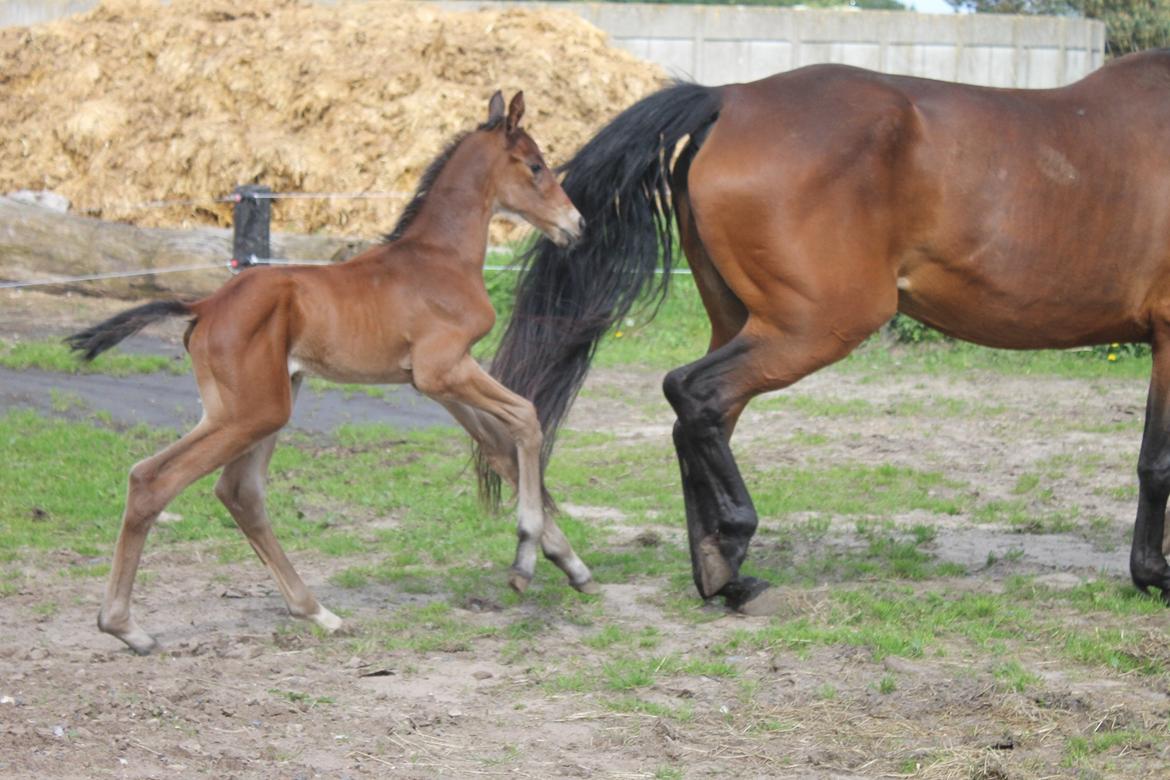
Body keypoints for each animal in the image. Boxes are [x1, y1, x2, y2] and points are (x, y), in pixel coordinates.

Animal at [68, 90, 589, 654]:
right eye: (535, 165)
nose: (576, 225)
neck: (440, 258)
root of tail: (203, 306)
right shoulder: (443, 370)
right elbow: (527, 418)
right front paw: (525, 562)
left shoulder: (435, 383)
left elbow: (501, 448)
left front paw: (569, 564)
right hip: (254, 412)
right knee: (154, 479)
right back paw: (124, 625)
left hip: (260, 404)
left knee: (240, 492)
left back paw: (317, 612)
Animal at [484, 50, 1170, 617]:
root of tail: (732, 98)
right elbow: (1156, 461)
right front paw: (1154, 576)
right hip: (812, 326)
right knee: (693, 394)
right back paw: (733, 549)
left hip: (744, 322)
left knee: (698, 419)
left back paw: (723, 575)